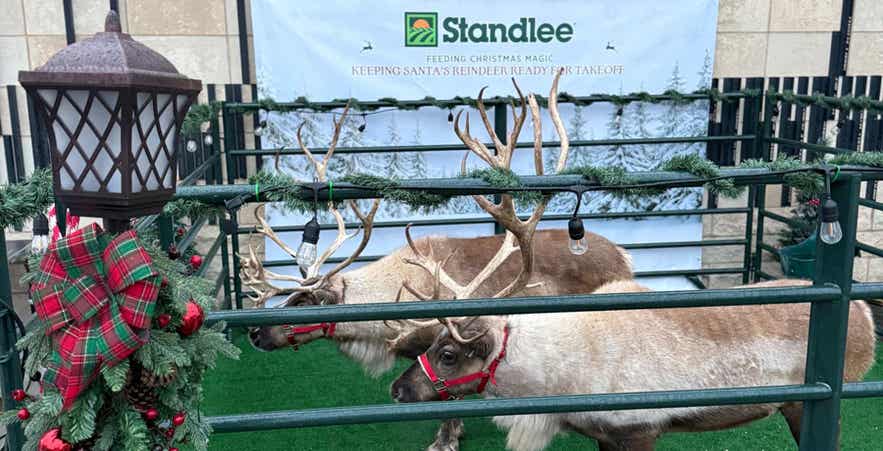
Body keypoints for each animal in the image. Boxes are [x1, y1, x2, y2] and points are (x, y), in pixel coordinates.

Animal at [389, 278, 877, 451]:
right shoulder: (605, 435)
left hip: (808, 405)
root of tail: (866, 315)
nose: (398, 390)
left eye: (448, 354)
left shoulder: (639, 431)